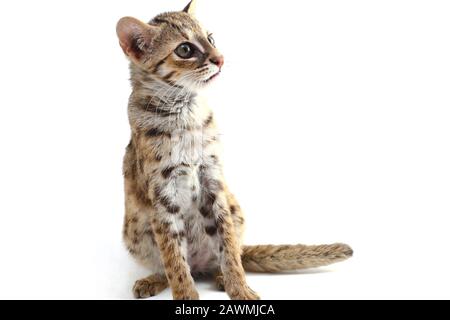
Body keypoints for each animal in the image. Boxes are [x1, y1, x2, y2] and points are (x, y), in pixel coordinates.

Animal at [115, 0, 352, 300]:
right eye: (185, 49)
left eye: (211, 39)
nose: (220, 58)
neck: (185, 112)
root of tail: (200, 266)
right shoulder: (163, 196)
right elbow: (174, 260)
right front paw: (187, 297)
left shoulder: (213, 182)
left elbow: (228, 247)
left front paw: (239, 288)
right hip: (134, 230)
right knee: (170, 264)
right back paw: (153, 279)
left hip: (235, 207)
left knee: (235, 252)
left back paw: (220, 277)